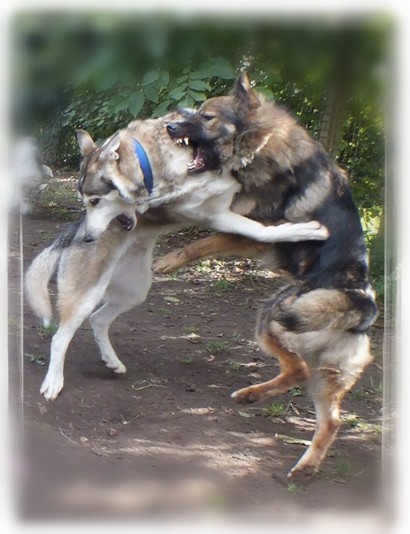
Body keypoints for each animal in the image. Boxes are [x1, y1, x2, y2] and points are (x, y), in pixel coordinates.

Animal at [25, 112, 326, 402]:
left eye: (95, 201)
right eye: (87, 202)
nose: (88, 237)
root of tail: (75, 229)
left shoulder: (219, 210)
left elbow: (260, 225)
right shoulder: (213, 213)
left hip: (134, 290)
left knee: (99, 320)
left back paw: (112, 361)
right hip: (86, 293)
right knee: (60, 337)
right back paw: (53, 382)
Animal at [159, 73, 380, 480]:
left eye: (207, 116)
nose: (170, 126)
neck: (258, 144)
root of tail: (362, 306)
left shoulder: (248, 229)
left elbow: (202, 242)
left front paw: (167, 261)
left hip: (279, 318)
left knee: (304, 376)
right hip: (301, 349)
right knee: (319, 401)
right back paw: (268, 414)